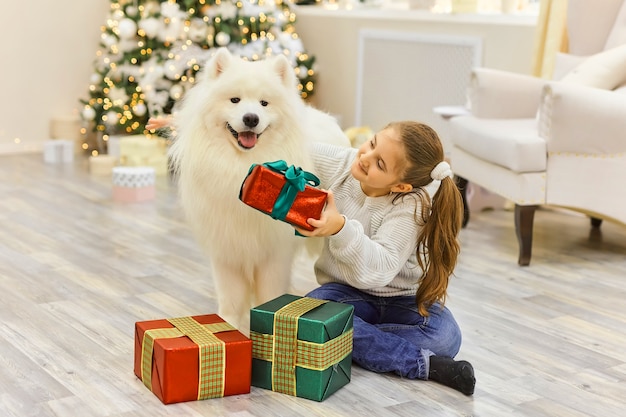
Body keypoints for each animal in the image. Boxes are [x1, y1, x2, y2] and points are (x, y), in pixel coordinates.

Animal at [168, 47, 348, 334]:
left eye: (264, 103)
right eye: (234, 100)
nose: (251, 118)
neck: (242, 164)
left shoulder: (275, 253)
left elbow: (271, 292)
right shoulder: (226, 248)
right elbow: (230, 297)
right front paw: (228, 325)